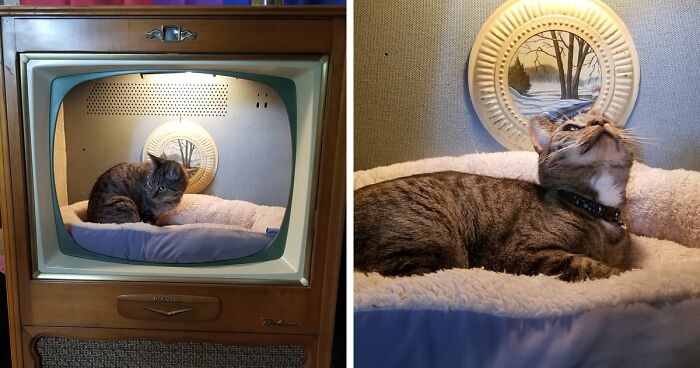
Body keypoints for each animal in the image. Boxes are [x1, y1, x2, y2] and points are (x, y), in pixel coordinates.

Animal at [356, 113, 636, 282]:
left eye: (610, 120)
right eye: (571, 127)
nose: (600, 120)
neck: (597, 208)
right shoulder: (525, 252)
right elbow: (598, 269)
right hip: (431, 235)